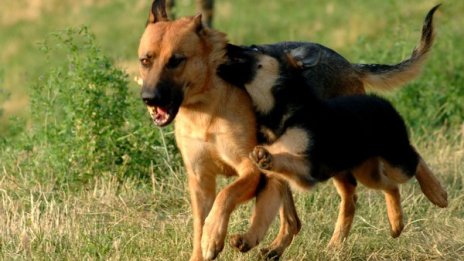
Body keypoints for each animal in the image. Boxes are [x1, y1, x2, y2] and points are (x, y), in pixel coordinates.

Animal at [218, 5, 446, 246]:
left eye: (253, 47)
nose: (226, 45)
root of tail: (350, 65)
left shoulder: (309, 161)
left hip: (363, 152)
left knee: (406, 161)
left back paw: (436, 194)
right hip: (351, 160)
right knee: (354, 193)